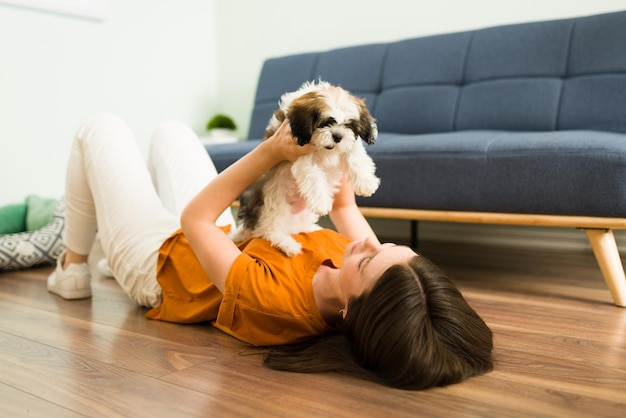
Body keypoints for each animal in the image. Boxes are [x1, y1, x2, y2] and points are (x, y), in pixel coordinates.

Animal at [228, 78, 378, 255]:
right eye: (327, 122)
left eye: (349, 125)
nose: (338, 136)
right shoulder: (299, 155)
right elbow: (314, 176)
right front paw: (322, 202)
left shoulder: (349, 145)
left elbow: (356, 155)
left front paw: (366, 183)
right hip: (272, 202)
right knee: (268, 229)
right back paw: (286, 243)